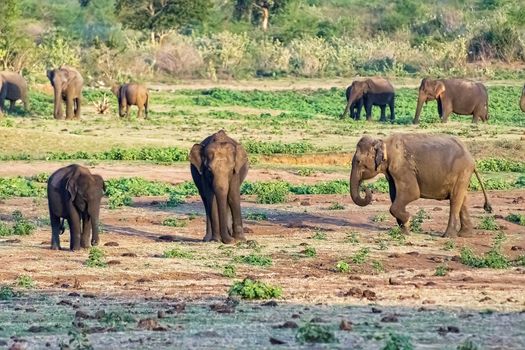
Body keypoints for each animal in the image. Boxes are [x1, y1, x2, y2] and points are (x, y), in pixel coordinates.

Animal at [348, 134, 492, 238]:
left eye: (358, 161)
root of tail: (471, 157)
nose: (366, 189)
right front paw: (405, 231)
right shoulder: (392, 172)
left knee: (455, 200)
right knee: (462, 199)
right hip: (463, 175)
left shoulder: (402, 168)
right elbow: (394, 195)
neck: (384, 142)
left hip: (462, 171)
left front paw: (407, 219)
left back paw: (448, 236)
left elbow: (412, 193)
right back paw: (465, 235)